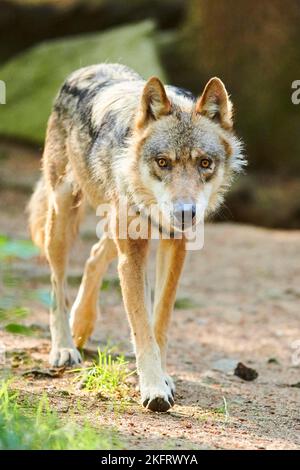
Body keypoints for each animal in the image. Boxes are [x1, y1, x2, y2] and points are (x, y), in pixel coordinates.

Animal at [27, 63, 244, 412]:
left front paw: (162, 378)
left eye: (204, 163)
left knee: (94, 256)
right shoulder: (133, 254)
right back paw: (64, 346)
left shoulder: (173, 246)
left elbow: (160, 323)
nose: (186, 213)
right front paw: (154, 388)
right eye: (163, 162)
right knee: (57, 283)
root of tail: (88, 68)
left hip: (116, 233)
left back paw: (82, 325)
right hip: (62, 218)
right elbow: (141, 326)